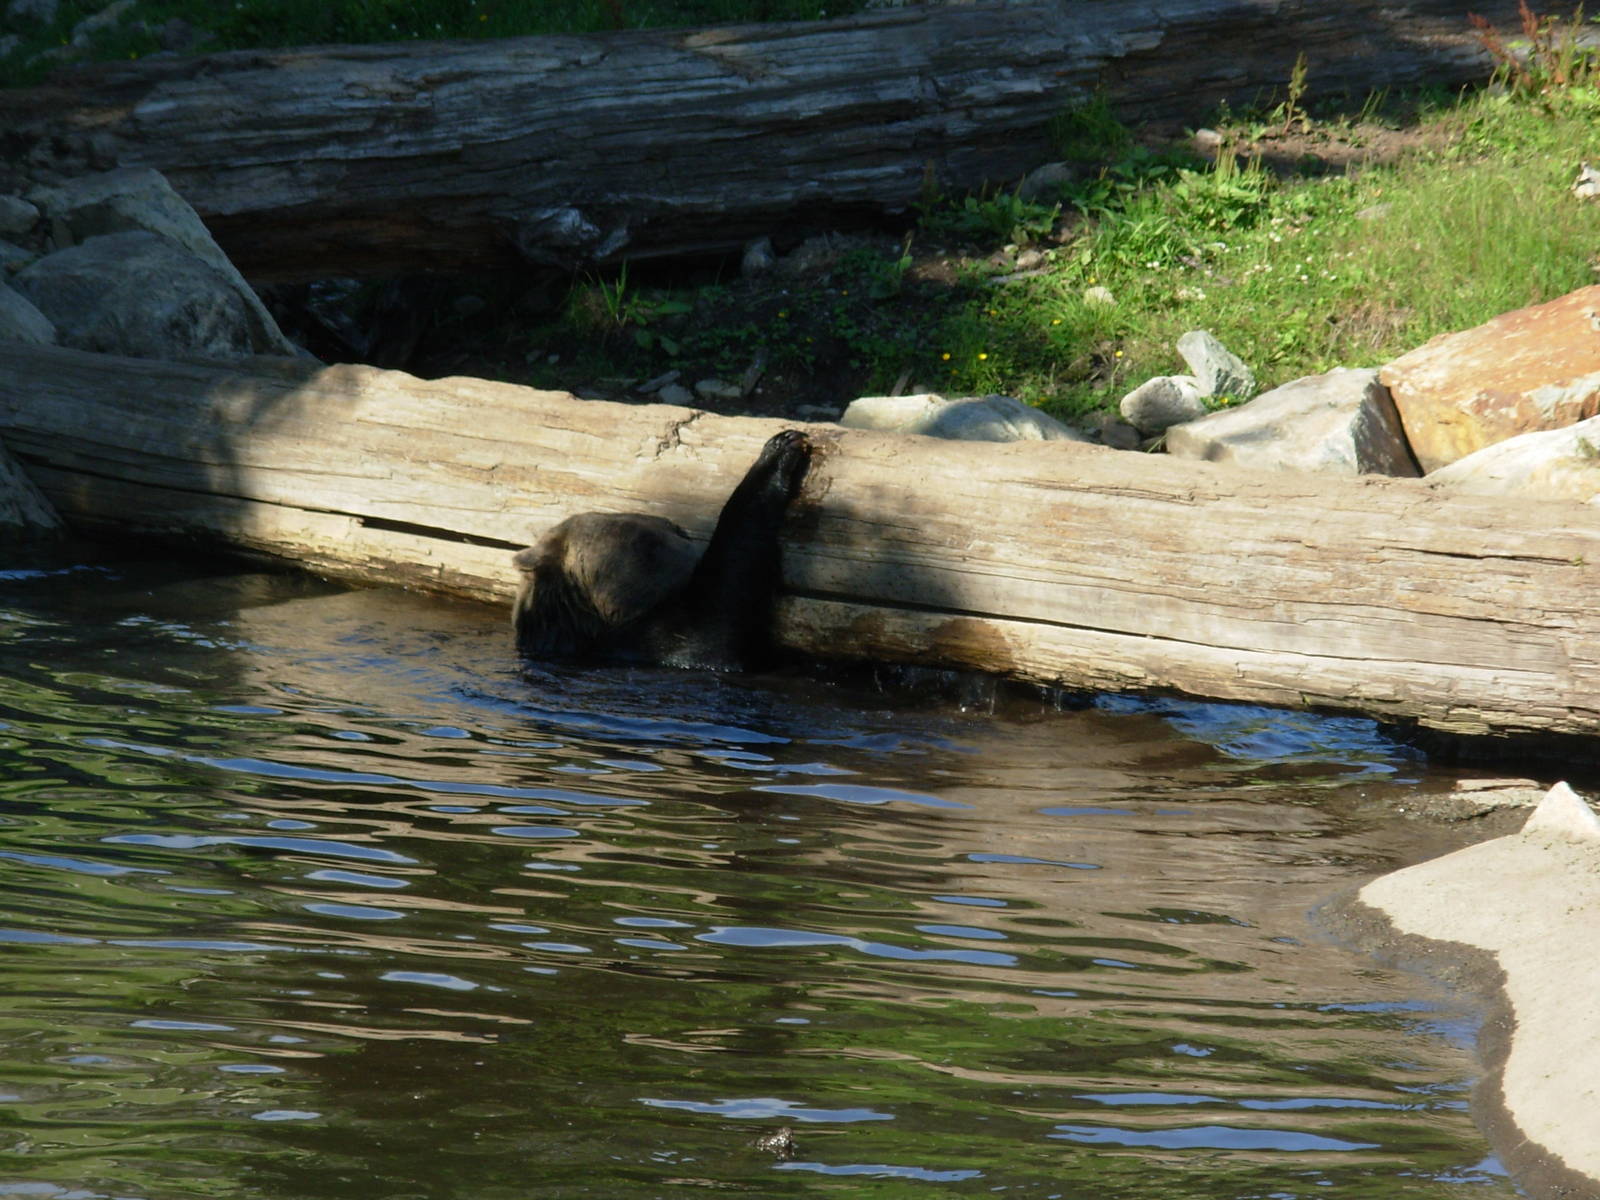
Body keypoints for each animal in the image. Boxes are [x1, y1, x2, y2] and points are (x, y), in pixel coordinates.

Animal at [511, 429, 812, 670]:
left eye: (677, 529)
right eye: (647, 541)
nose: (682, 531)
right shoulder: (668, 641)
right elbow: (727, 598)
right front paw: (780, 449)